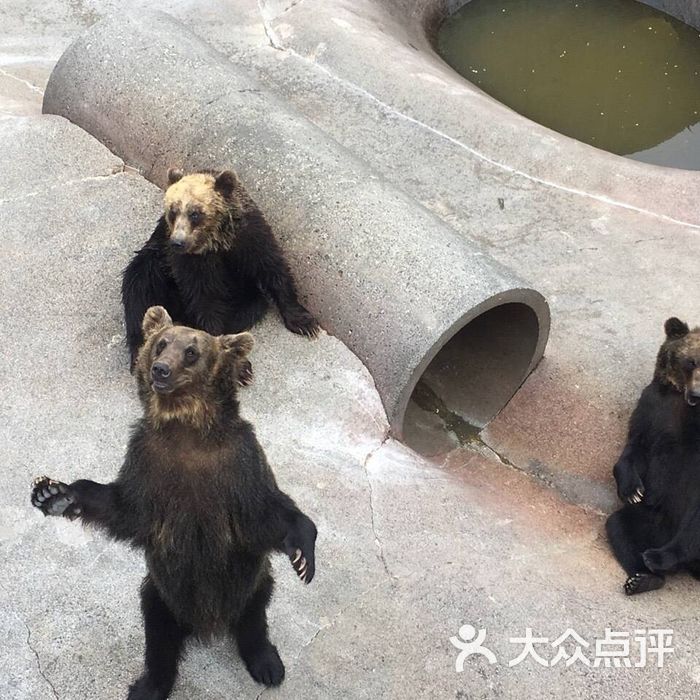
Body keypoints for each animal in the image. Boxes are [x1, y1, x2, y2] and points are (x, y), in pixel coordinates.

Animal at [31, 306, 317, 699]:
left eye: (192, 352)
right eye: (162, 343)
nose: (160, 369)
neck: (187, 431)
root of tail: (208, 622)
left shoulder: (238, 464)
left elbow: (262, 515)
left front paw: (303, 555)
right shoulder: (148, 462)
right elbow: (126, 509)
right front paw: (54, 494)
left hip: (248, 583)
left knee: (255, 615)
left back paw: (267, 663)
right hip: (163, 593)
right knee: (159, 635)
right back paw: (149, 686)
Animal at [121, 168, 320, 371]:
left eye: (195, 213)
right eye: (172, 212)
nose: (178, 242)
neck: (216, 242)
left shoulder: (249, 238)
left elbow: (271, 267)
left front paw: (304, 323)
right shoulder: (190, 263)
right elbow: (204, 299)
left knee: (251, 307)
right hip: (156, 264)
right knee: (139, 289)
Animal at [606, 316, 700, 595]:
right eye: (691, 361)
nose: (696, 394)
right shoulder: (653, 408)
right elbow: (635, 445)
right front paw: (632, 490)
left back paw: (659, 558)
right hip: (650, 520)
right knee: (618, 526)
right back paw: (643, 576)